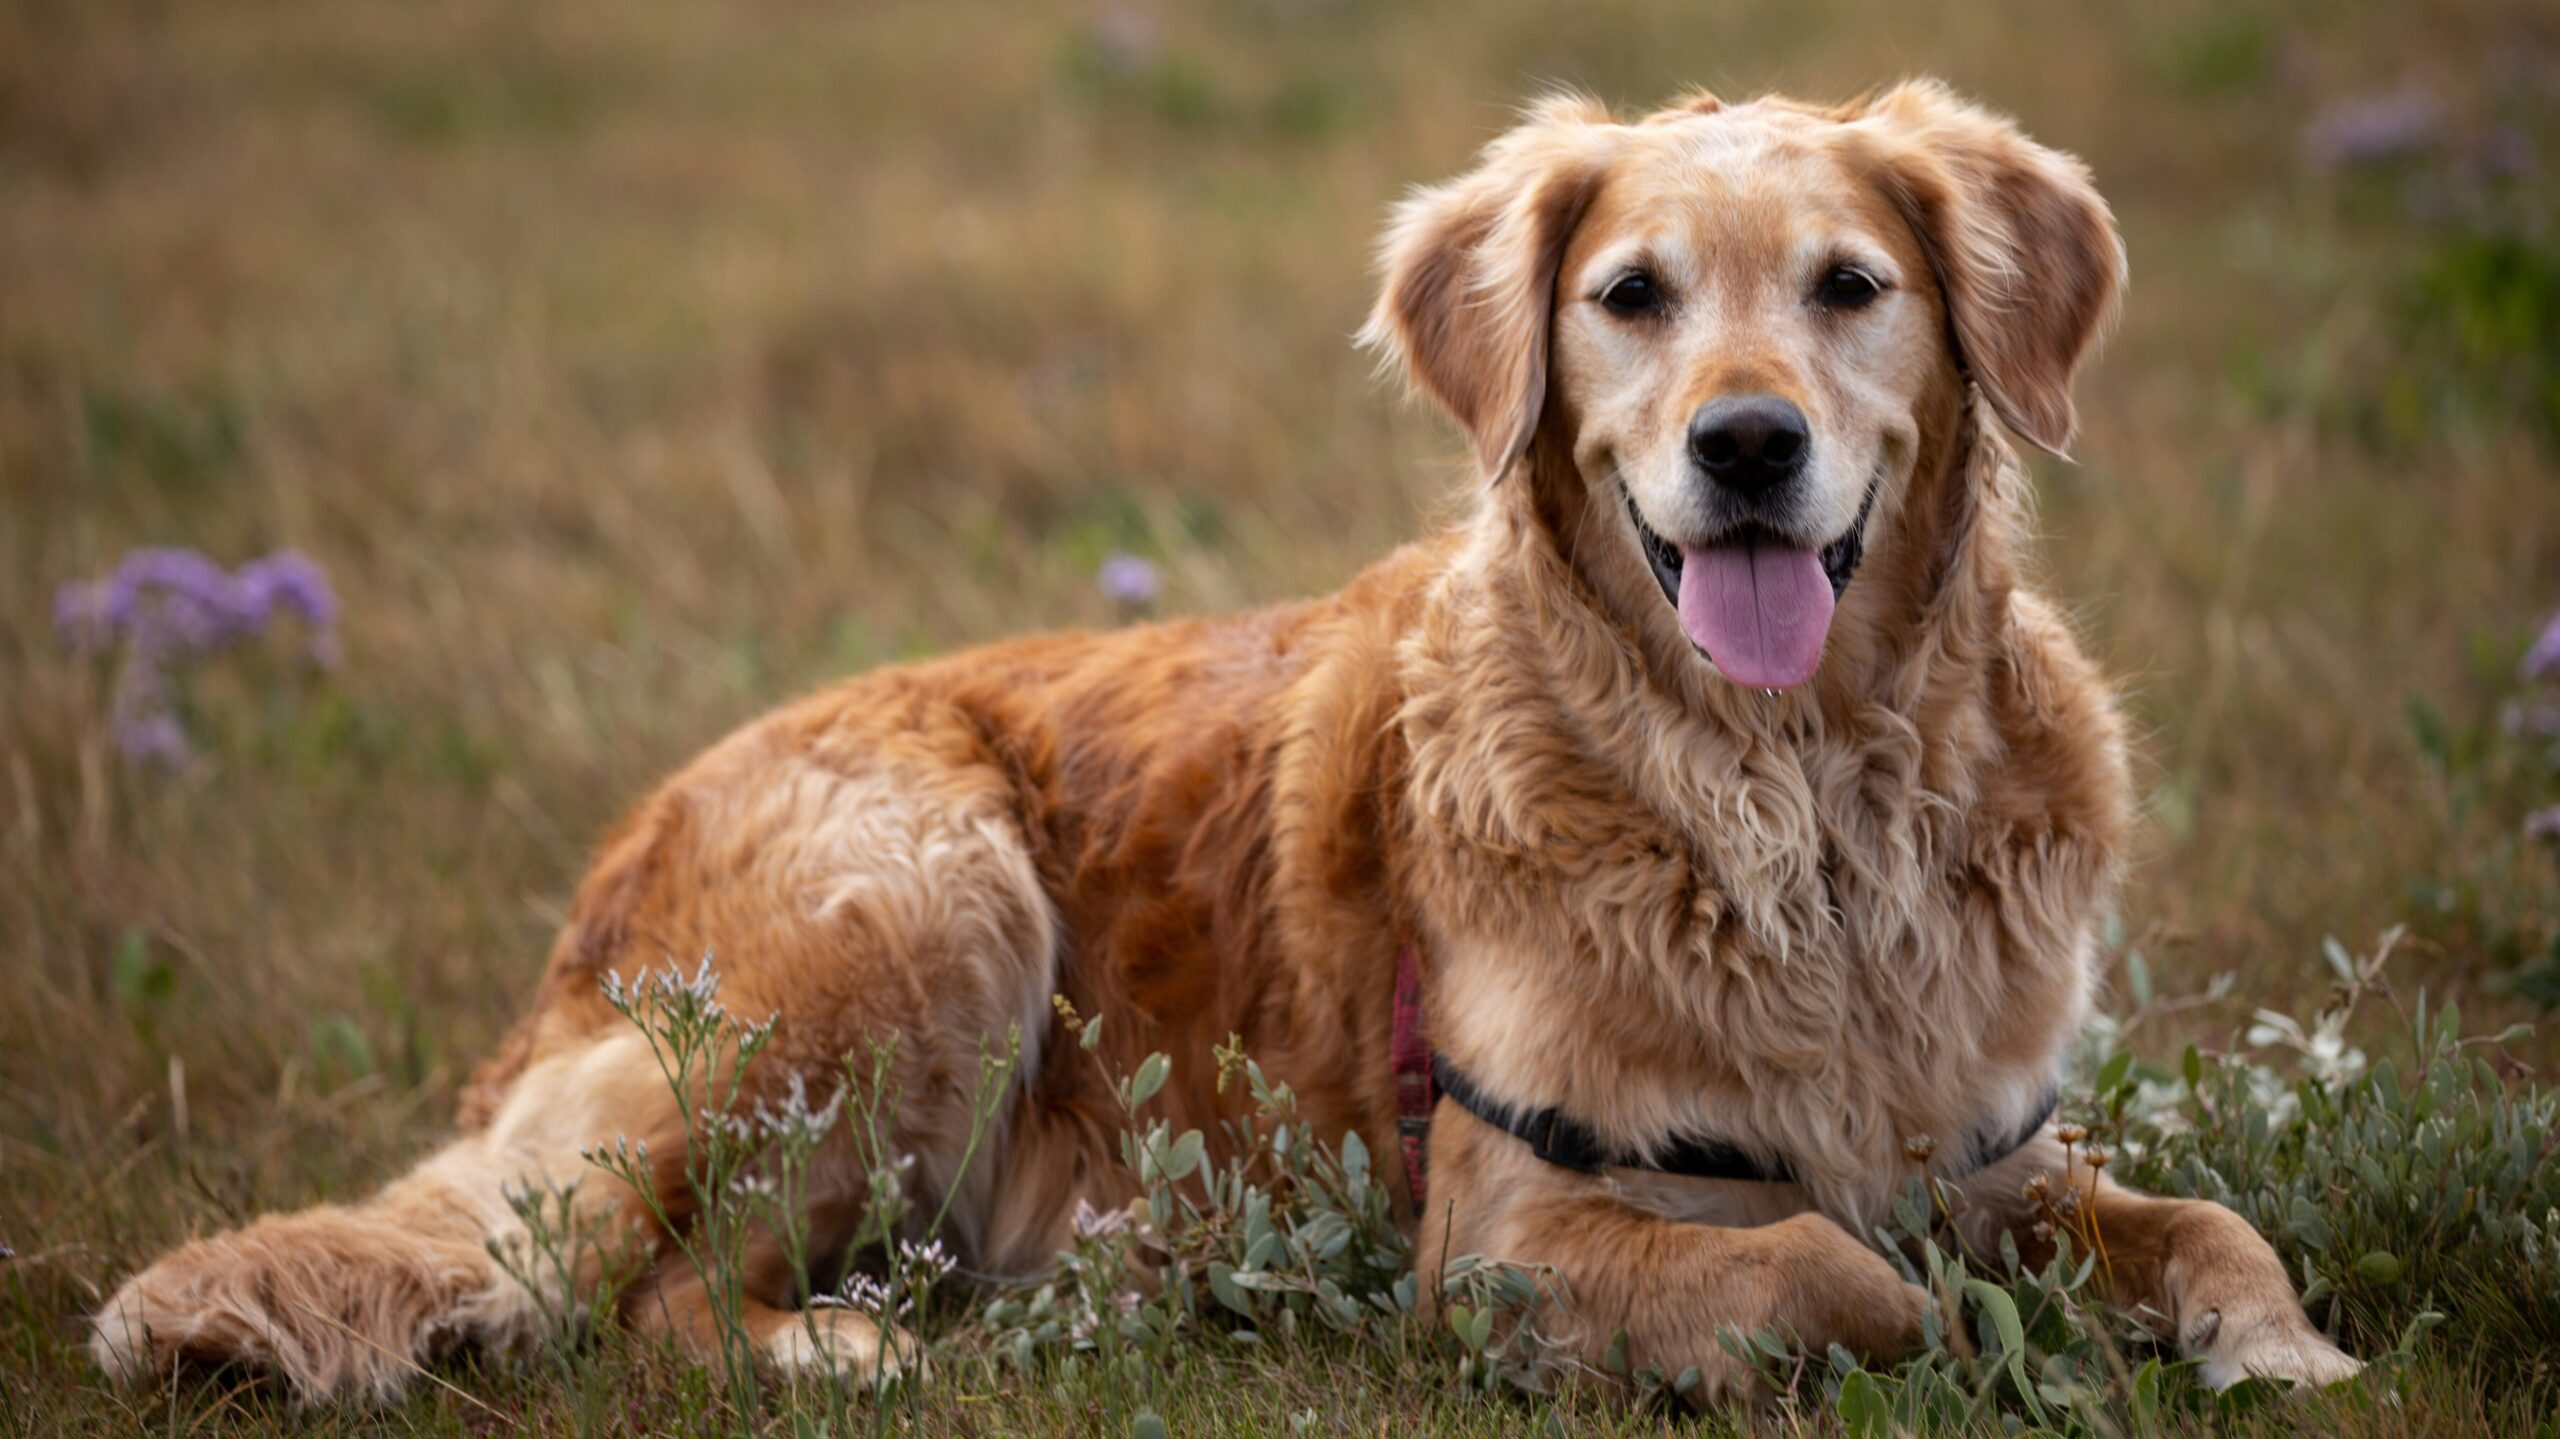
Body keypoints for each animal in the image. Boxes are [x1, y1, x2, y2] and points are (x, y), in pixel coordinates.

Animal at [85, 81, 2355, 1403]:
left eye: (1851, 286)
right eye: (1629, 294)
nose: (1743, 444)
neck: (1792, 799)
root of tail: (606, 873)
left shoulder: (1990, 1137)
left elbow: (2203, 1220)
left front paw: (2285, 1348)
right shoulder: (1506, 1240)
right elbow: (1837, 1265)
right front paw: (1980, 1329)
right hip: (925, 904)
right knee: (638, 1308)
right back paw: (866, 1341)